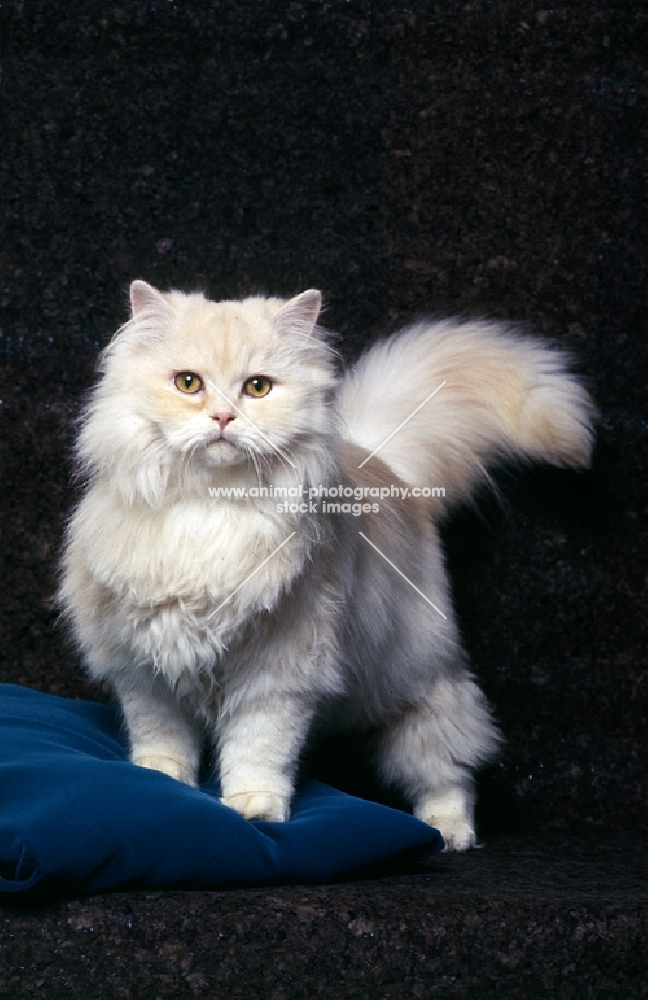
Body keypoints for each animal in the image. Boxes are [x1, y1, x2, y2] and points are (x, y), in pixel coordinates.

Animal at [58, 282, 596, 852]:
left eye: (257, 388)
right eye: (188, 384)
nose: (223, 418)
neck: (211, 508)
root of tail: (389, 468)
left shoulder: (276, 672)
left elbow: (257, 749)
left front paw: (255, 809)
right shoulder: (144, 665)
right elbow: (162, 739)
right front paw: (159, 785)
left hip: (419, 676)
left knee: (446, 766)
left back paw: (450, 832)